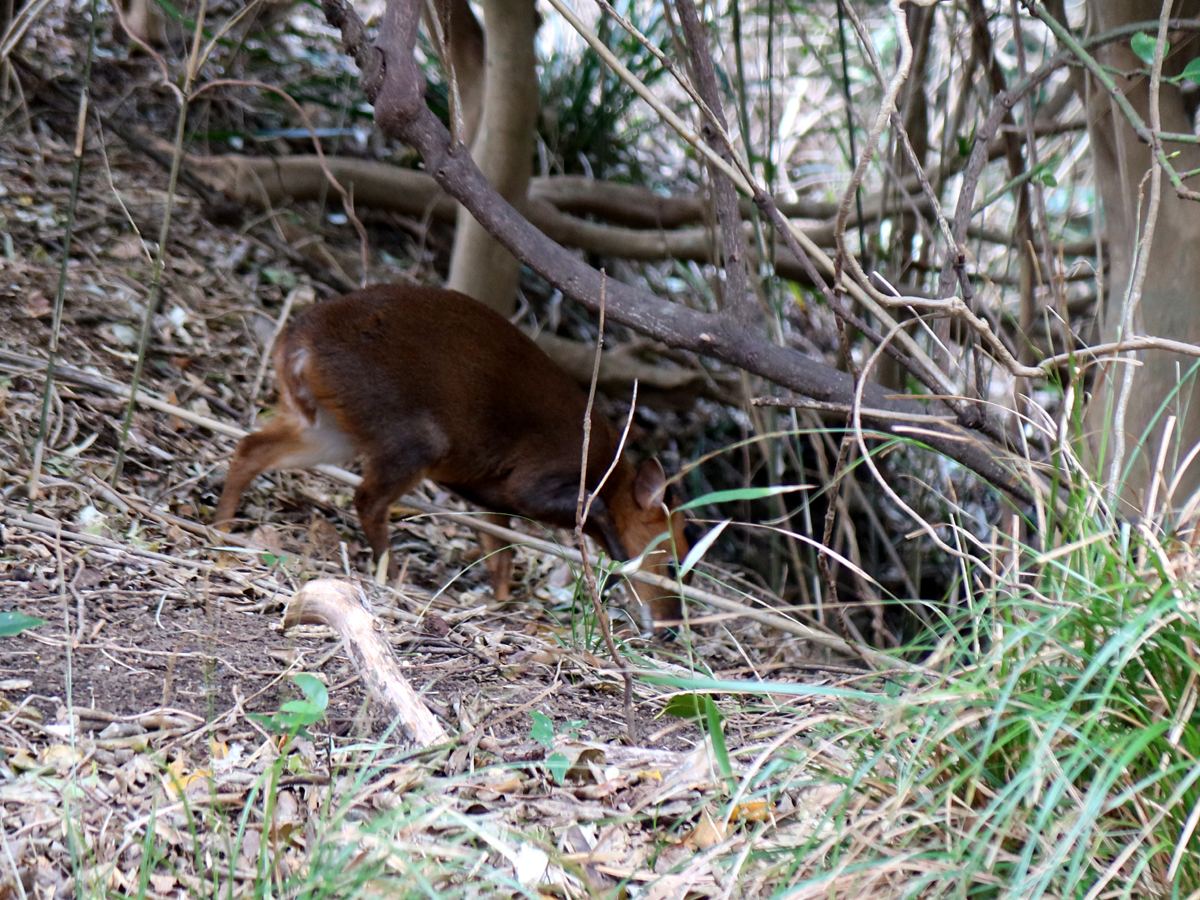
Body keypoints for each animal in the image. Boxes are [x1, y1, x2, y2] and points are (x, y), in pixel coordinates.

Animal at [212, 285, 691, 628]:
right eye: (671, 566)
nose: (670, 629)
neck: (610, 470)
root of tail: (299, 340)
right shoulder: (534, 482)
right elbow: (590, 515)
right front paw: (619, 557)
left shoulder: (491, 495)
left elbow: (500, 555)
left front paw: (503, 602)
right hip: (414, 437)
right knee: (368, 499)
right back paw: (391, 572)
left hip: (328, 428)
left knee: (251, 448)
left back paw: (221, 528)